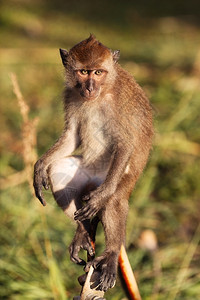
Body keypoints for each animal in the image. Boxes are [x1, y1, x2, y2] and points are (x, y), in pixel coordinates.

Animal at [33, 34, 153, 292]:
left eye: (98, 72)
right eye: (83, 72)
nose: (89, 87)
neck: (104, 91)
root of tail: (94, 181)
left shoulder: (122, 100)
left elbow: (125, 143)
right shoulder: (70, 94)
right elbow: (71, 137)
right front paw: (39, 167)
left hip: (114, 179)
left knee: (114, 199)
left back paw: (110, 253)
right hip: (85, 175)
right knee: (59, 170)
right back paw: (84, 230)